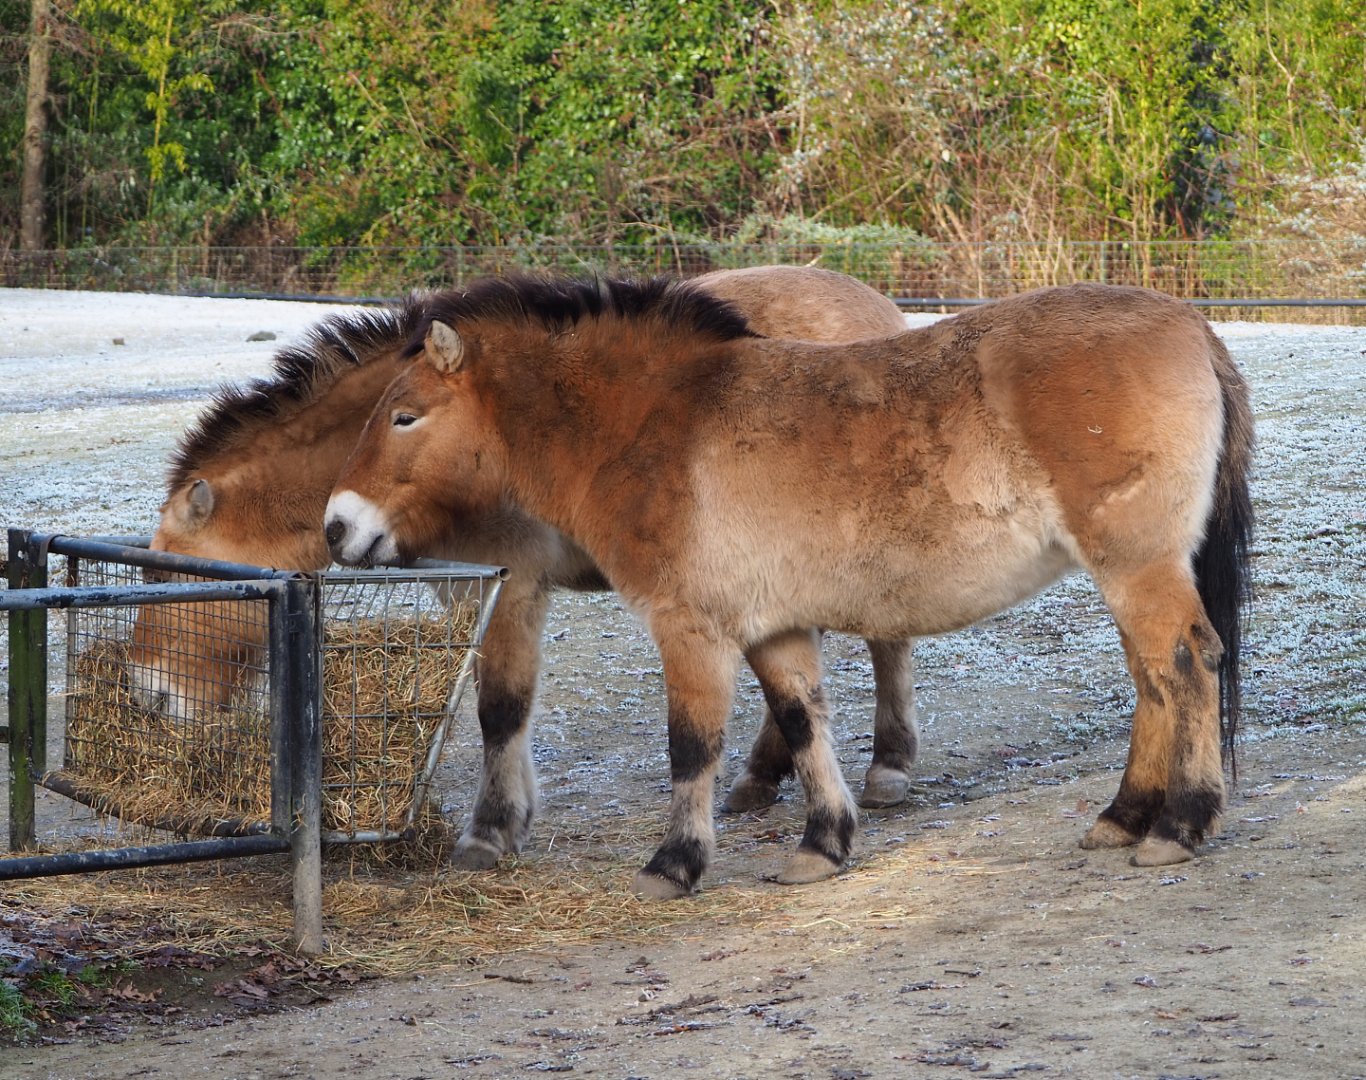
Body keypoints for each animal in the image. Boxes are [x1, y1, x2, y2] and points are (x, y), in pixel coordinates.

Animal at [127, 265, 920, 865]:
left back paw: (887, 764)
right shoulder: (472, 588)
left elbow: (500, 707)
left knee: (886, 640)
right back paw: (762, 776)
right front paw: (516, 813)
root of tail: (879, 308)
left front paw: (490, 829)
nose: (148, 695)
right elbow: (502, 701)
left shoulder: (512, 585)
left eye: (168, 575)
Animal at [324, 275, 1254, 900]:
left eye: (404, 415)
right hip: (1127, 570)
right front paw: (822, 843)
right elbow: (805, 721)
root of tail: (1192, 325)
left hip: (1136, 565)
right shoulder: (771, 629)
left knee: (1185, 666)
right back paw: (1124, 816)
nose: (338, 526)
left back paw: (1180, 825)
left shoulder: (690, 628)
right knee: (1154, 679)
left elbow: (692, 746)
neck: (657, 424)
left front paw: (675, 864)